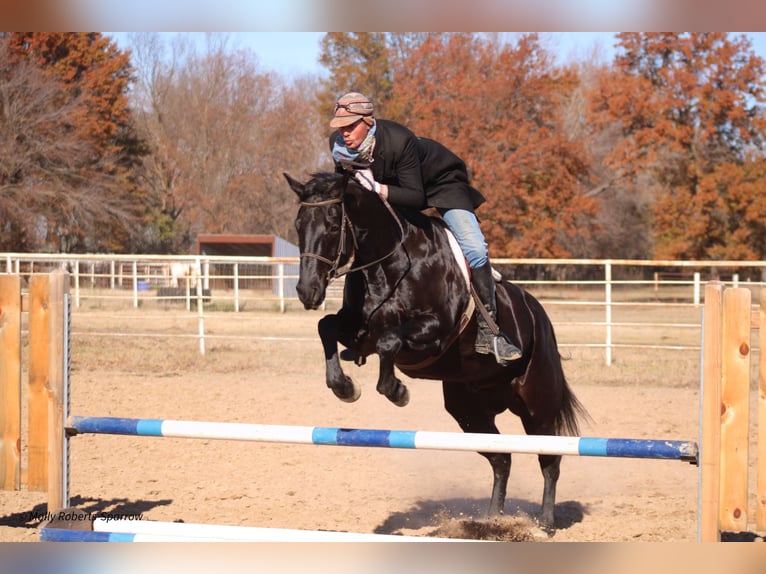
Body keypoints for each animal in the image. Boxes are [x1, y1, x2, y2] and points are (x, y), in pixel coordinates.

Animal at [284, 171, 592, 532]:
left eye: (333, 224)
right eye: (299, 223)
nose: (307, 291)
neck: (389, 263)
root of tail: (537, 313)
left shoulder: (434, 331)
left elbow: (390, 342)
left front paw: (397, 391)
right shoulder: (359, 332)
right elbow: (327, 328)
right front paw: (345, 387)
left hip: (537, 405)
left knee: (549, 458)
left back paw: (544, 522)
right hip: (469, 413)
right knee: (501, 458)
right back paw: (492, 519)